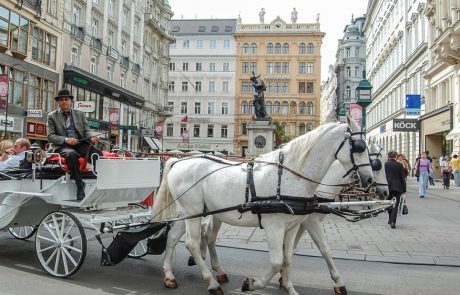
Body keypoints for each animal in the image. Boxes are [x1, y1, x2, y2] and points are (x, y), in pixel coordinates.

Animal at [153, 118, 376, 295]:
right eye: (359, 147)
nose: (370, 180)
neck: (290, 175)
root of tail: (178, 162)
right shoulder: (274, 226)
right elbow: (277, 261)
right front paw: (252, 284)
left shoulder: (292, 226)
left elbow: (288, 258)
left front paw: (290, 287)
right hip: (193, 213)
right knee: (192, 243)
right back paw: (212, 283)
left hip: (189, 213)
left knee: (174, 237)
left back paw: (169, 275)